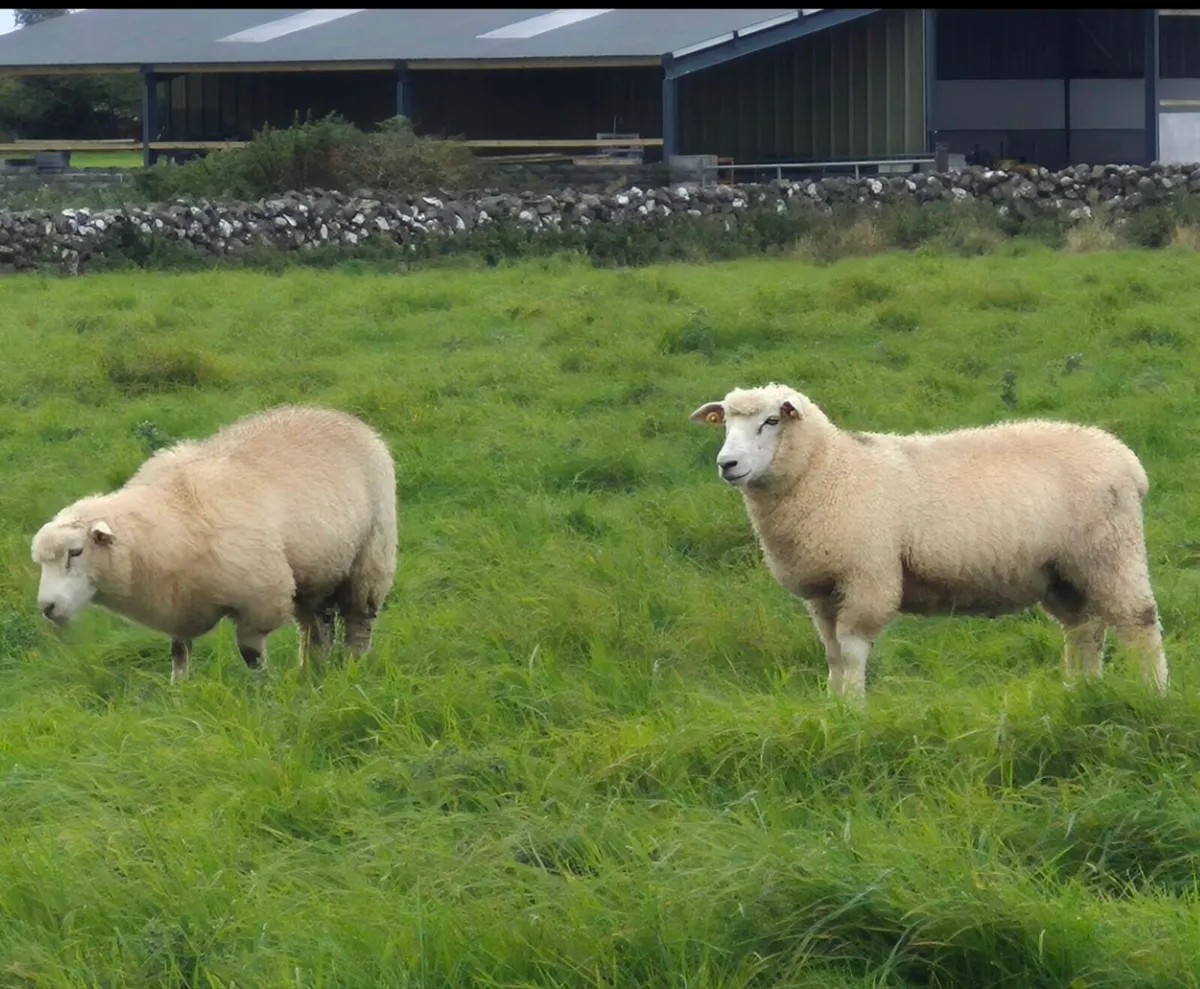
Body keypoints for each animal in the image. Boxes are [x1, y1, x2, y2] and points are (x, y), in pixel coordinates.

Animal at [31, 405, 398, 684]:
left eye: (75, 552)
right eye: (42, 563)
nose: (47, 607)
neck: (171, 516)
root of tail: (342, 416)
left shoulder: (260, 598)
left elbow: (251, 653)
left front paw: (262, 689)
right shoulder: (178, 604)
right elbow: (179, 653)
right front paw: (179, 692)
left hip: (371, 556)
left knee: (358, 622)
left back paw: (352, 667)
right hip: (316, 570)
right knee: (317, 627)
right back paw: (312, 669)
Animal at [689, 382, 1168, 703]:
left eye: (771, 421)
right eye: (725, 423)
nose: (727, 464)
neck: (831, 471)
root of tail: (1126, 458)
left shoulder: (868, 576)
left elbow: (853, 651)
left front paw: (854, 713)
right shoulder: (823, 591)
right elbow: (833, 655)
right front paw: (834, 706)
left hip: (1111, 549)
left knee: (1138, 621)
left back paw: (1154, 693)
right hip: (1064, 570)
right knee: (1085, 629)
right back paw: (1081, 692)